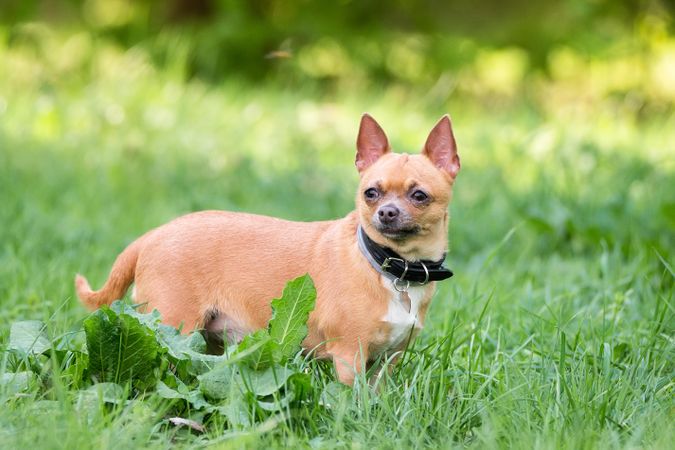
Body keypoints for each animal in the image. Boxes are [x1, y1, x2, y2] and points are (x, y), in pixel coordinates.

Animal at [76, 114, 462, 384]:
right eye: (371, 193)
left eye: (419, 196)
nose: (386, 212)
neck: (392, 267)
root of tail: (153, 234)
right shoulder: (349, 356)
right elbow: (354, 402)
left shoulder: (387, 361)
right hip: (173, 328)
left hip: (207, 339)